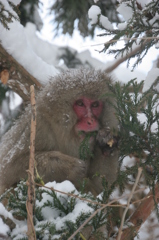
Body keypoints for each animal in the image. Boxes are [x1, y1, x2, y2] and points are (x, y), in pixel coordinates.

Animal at [0, 68, 118, 196]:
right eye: (80, 104)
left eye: (95, 105)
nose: (91, 121)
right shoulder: (38, 126)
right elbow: (10, 168)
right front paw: (68, 167)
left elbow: (101, 188)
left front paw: (105, 143)